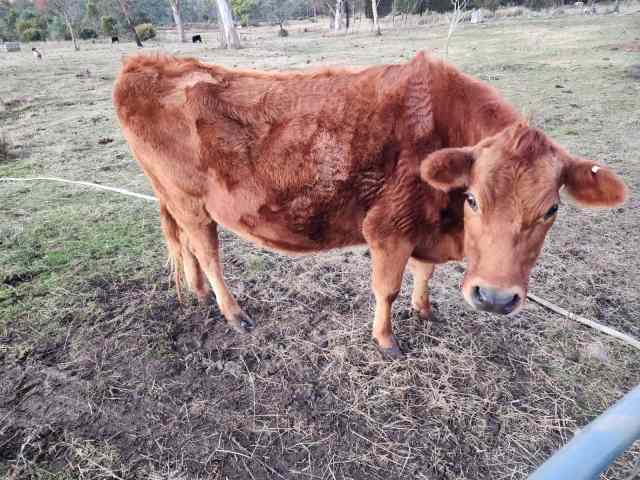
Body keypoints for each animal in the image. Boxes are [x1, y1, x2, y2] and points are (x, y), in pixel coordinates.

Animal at [112, 54, 628, 358]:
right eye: (473, 198)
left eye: (551, 210)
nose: (496, 298)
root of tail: (145, 62)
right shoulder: (389, 227)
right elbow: (388, 290)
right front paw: (386, 340)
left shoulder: (423, 228)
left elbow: (424, 273)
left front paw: (425, 309)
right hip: (191, 201)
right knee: (209, 252)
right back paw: (232, 312)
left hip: (174, 200)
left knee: (188, 248)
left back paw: (199, 294)